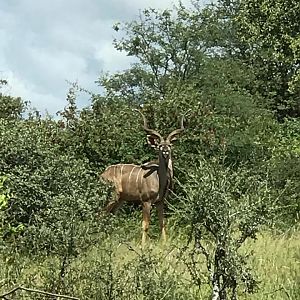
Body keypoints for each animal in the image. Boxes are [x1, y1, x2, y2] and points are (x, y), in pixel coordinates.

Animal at [101, 109, 185, 245]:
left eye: (170, 145)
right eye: (160, 146)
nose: (165, 151)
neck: (159, 179)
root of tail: (102, 174)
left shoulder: (160, 202)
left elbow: (162, 223)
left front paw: (164, 243)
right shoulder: (146, 201)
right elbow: (145, 225)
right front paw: (143, 246)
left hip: (120, 199)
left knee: (110, 215)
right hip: (112, 197)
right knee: (102, 214)